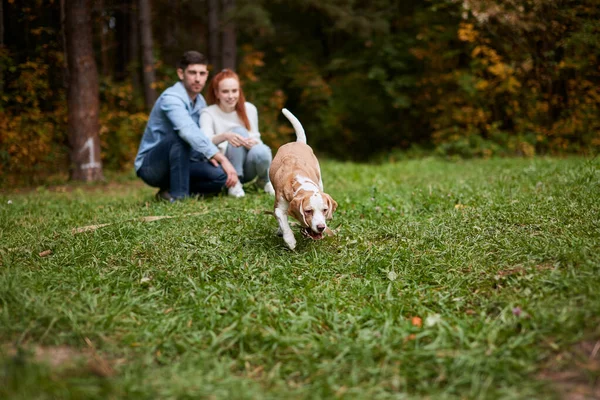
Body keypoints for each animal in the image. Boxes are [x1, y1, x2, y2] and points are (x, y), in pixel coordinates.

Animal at [268, 108, 338, 248]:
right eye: (308, 211)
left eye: (325, 210)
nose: (321, 227)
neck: (300, 182)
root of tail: (298, 142)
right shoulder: (279, 207)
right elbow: (283, 223)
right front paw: (290, 240)